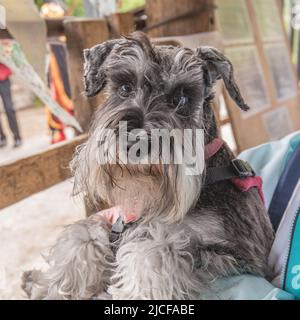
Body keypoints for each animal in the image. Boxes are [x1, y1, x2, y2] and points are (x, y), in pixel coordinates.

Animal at [21, 32, 274, 300]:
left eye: (181, 98)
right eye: (124, 87)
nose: (134, 143)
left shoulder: (240, 254)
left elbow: (152, 251)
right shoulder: (114, 222)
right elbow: (85, 235)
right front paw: (52, 286)